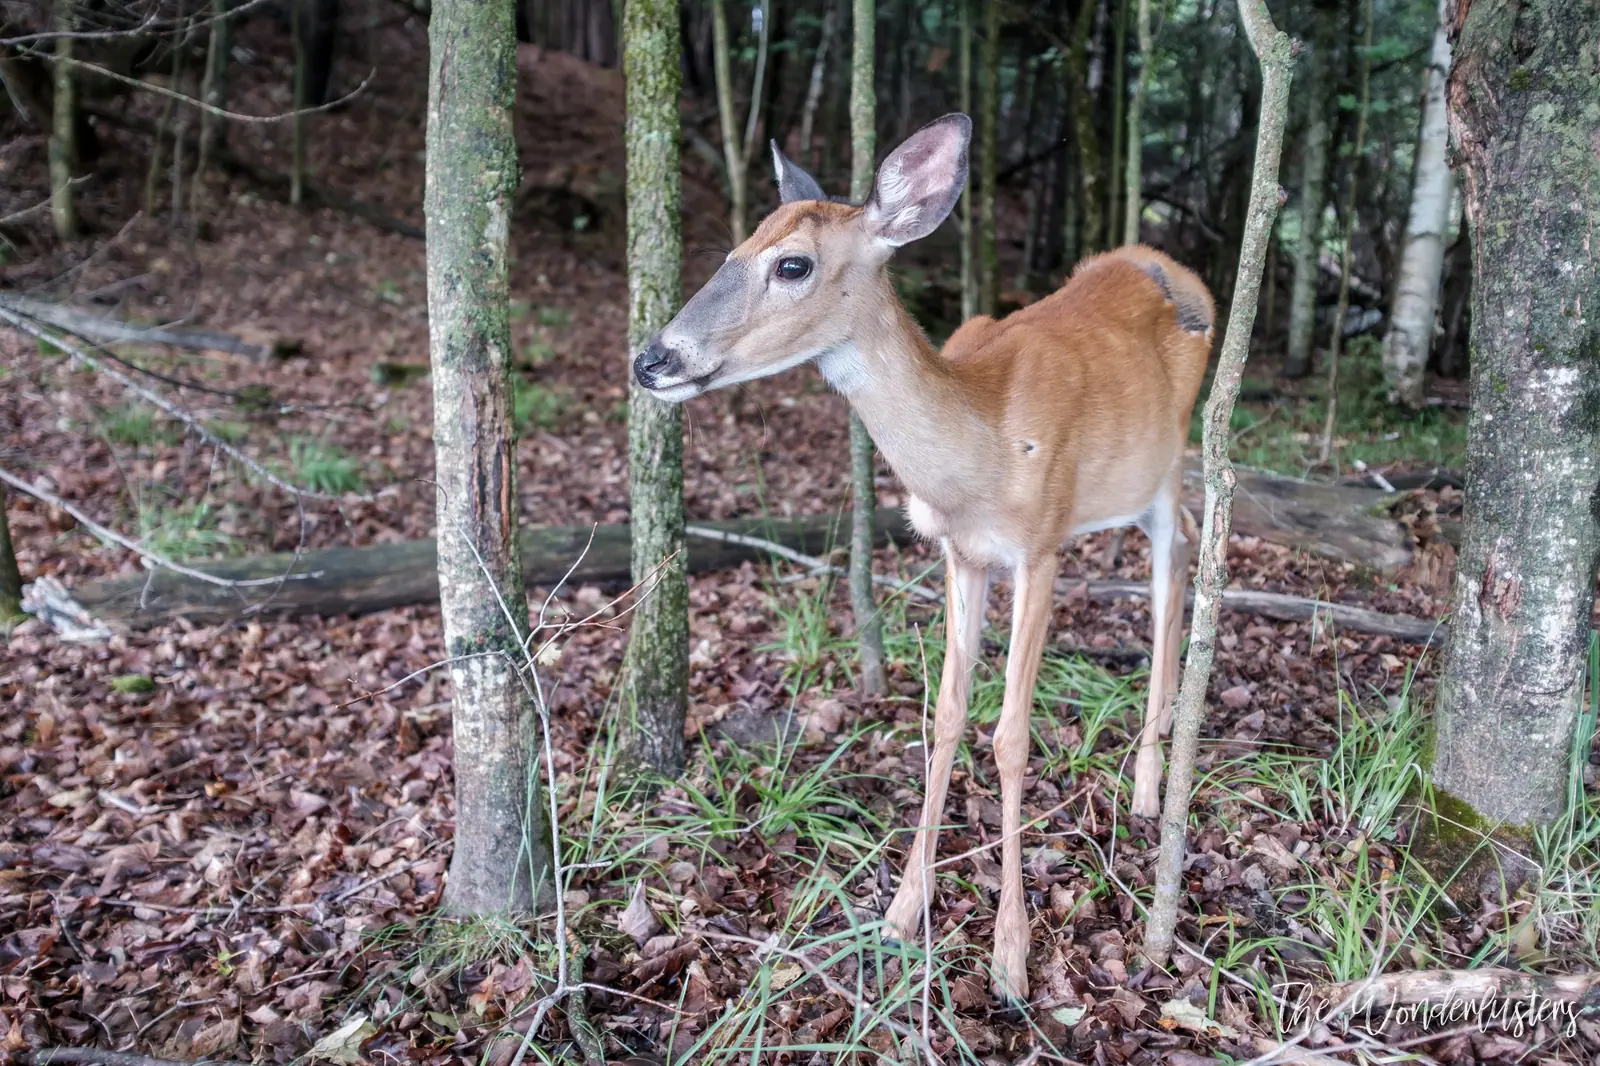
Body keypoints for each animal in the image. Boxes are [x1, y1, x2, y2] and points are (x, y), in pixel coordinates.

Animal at [632, 114, 1213, 1004]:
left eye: (792, 263)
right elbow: (944, 715)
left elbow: (1010, 734)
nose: (652, 360)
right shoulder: (960, 554)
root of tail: (1184, 273)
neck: (983, 449)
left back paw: (1151, 784)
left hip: (1169, 456)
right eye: (733, 248)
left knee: (1177, 555)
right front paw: (904, 912)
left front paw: (1010, 956)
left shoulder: (1040, 543)